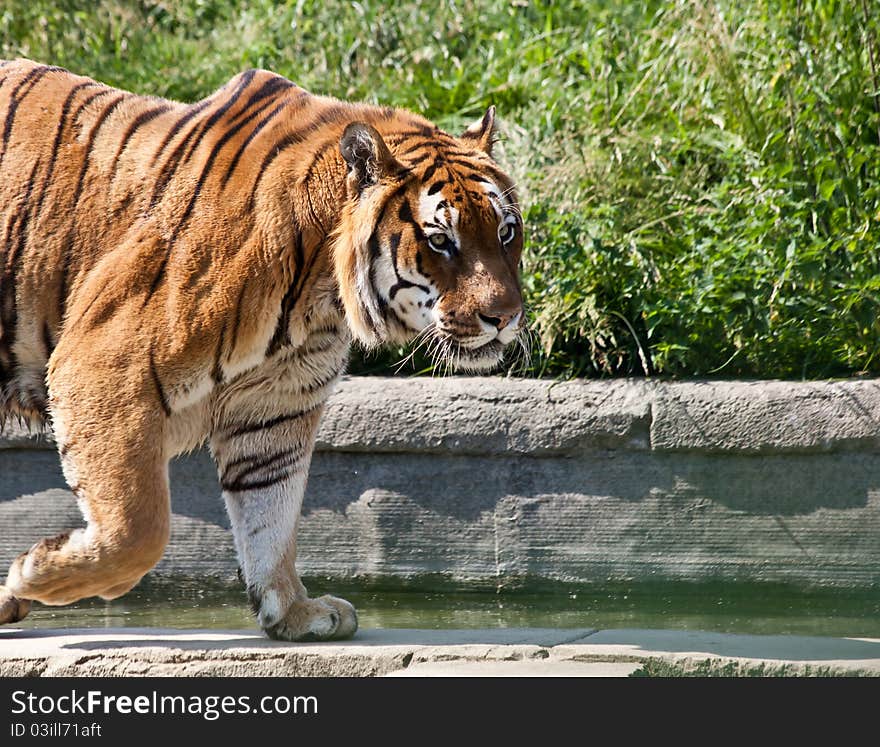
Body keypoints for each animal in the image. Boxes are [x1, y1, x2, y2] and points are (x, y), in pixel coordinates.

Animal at [0, 60, 524, 644]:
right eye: (440, 241)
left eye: (506, 232)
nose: (505, 317)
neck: (320, 289)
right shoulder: (102, 365)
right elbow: (138, 530)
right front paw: (32, 575)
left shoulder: (274, 403)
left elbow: (270, 515)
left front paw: (294, 612)